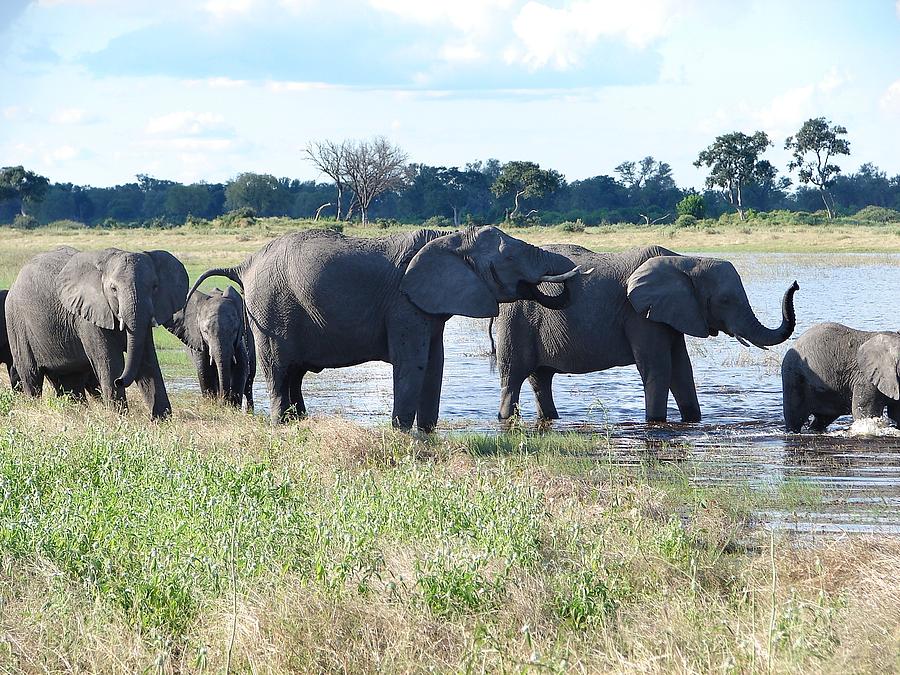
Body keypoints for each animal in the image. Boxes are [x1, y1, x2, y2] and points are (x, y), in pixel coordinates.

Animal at [5, 246, 190, 420]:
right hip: (16, 323)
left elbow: (147, 360)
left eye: (154, 287)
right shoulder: (87, 315)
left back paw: (76, 413)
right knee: (31, 375)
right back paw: (33, 408)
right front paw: (118, 418)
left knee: (70, 381)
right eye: (113, 289)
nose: (119, 381)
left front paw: (162, 421)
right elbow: (110, 361)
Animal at [189, 226, 584, 428]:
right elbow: (414, 362)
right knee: (278, 368)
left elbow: (435, 363)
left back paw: (297, 420)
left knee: (294, 373)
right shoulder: (403, 303)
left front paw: (426, 433)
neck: (451, 237)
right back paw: (280, 425)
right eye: (511, 256)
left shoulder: (426, 305)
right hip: (271, 307)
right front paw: (402, 432)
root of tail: (244, 264)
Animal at [496, 243, 800, 422]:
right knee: (513, 378)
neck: (686, 261)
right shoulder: (639, 314)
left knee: (540, 379)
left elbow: (681, 370)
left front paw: (692, 421)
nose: (795, 284)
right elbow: (659, 368)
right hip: (515, 321)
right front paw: (655, 422)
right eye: (725, 300)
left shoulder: (672, 312)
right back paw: (505, 418)